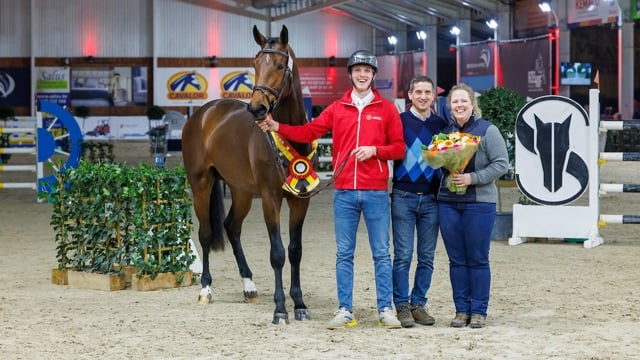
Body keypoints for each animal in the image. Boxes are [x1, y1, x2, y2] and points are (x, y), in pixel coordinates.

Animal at [182, 23, 312, 324]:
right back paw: (205, 289)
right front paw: (280, 309)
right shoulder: (270, 198)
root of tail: (204, 113)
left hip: (240, 191)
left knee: (231, 227)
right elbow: (277, 253)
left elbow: (295, 251)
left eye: (280, 65)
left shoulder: (300, 200)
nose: (257, 108)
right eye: (255, 64)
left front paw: (299, 304)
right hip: (201, 185)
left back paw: (249, 286)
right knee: (206, 233)